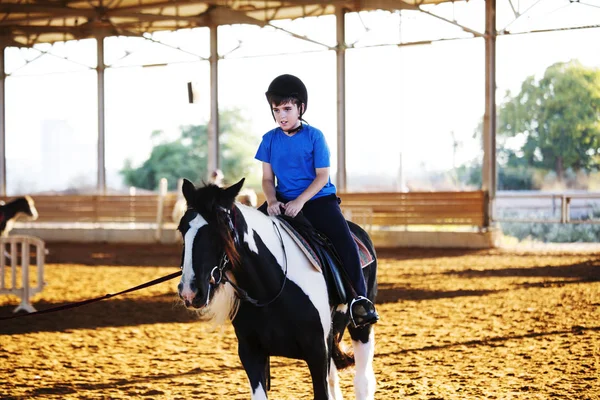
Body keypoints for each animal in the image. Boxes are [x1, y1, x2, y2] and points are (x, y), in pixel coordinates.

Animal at [176, 179, 378, 400]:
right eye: (182, 228)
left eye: (221, 228)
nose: (190, 291)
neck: (271, 289)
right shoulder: (251, 352)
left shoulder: (317, 352)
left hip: (361, 328)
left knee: (363, 381)